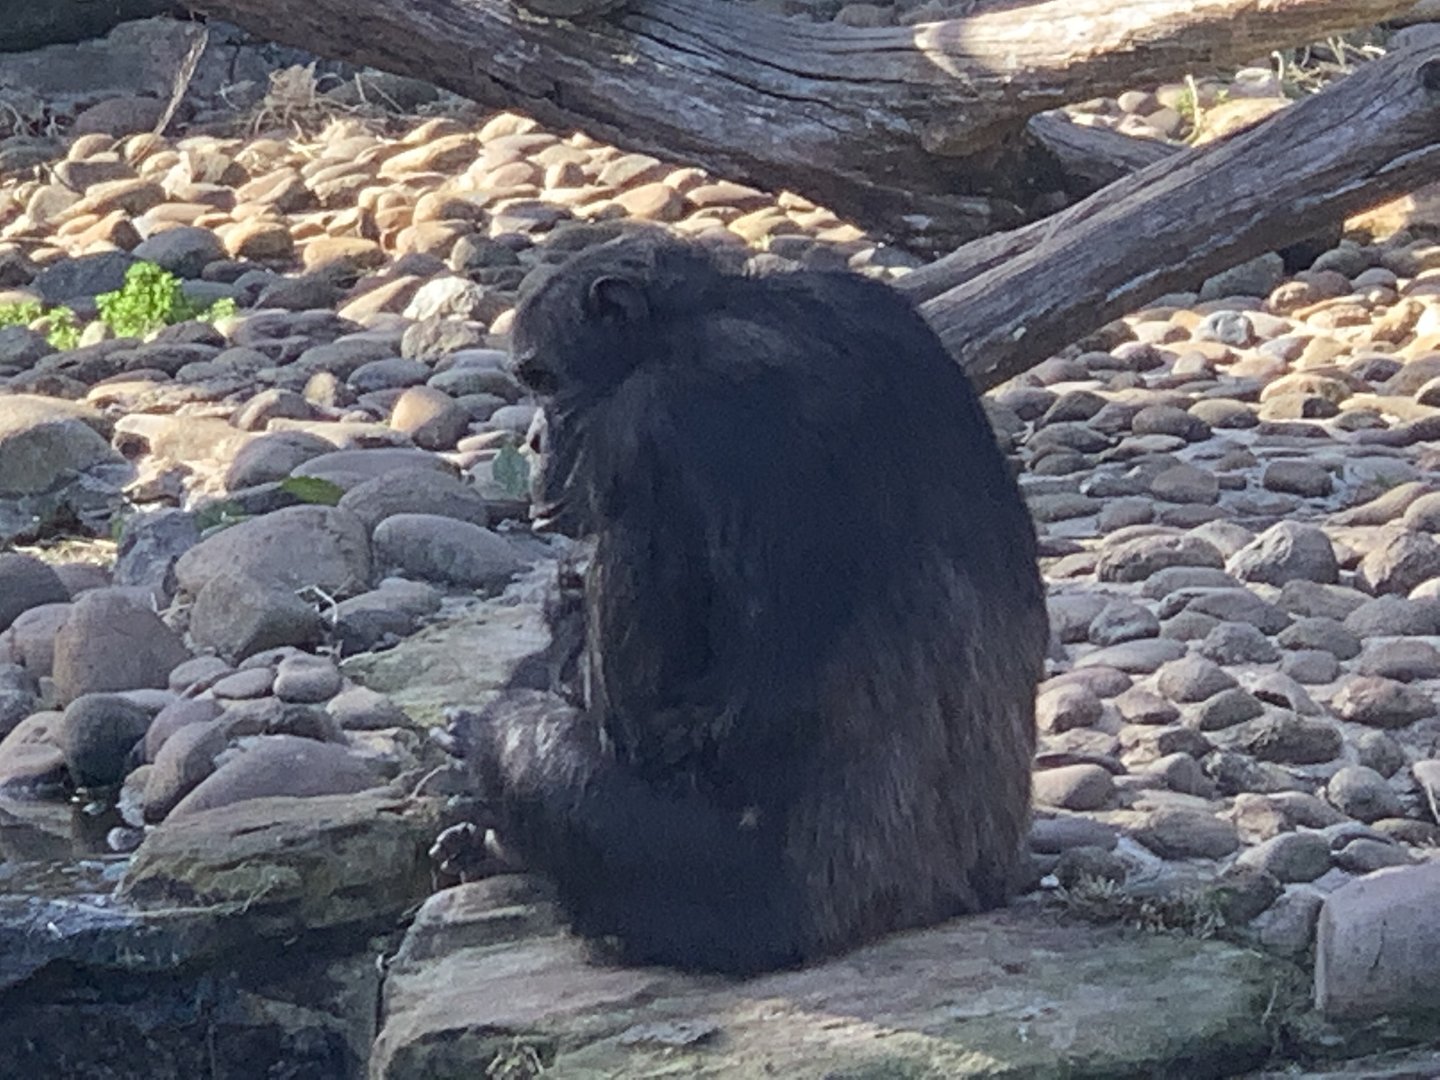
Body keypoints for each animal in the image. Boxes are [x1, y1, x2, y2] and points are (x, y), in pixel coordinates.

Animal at [451, 232, 1048, 975]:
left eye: (544, 380)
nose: (533, 440)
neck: (705, 319)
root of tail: (939, 903)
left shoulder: (644, 427)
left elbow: (635, 717)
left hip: (725, 904)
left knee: (517, 738)